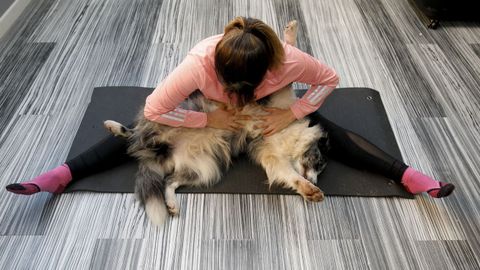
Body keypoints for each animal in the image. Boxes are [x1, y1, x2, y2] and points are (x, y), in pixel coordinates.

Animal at [104, 85, 330, 225]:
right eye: (318, 162)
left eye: (320, 168)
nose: (315, 181)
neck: (290, 140)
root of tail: (159, 151)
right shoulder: (279, 105)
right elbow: (284, 89)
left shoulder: (273, 158)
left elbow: (291, 176)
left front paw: (309, 190)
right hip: (169, 119)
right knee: (134, 133)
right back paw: (115, 127)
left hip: (203, 170)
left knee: (169, 181)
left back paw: (172, 204)